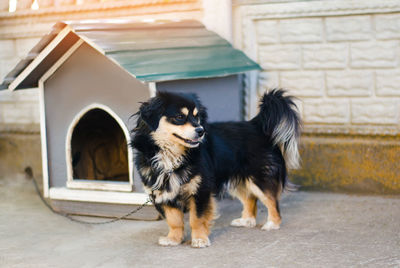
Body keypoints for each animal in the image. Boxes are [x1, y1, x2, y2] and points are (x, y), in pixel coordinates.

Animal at [130, 89, 300, 248]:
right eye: (179, 117)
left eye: (197, 117)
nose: (201, 130)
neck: (172, 156)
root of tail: (255, 125)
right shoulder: (163, 193)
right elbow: (174, 221)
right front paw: (174, 239)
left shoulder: (200, 190)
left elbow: (196, 219)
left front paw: (199, 239)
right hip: (238, 180)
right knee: (250, 199)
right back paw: (247, 220)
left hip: (258, 179)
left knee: (271, 201)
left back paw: (272, 223)